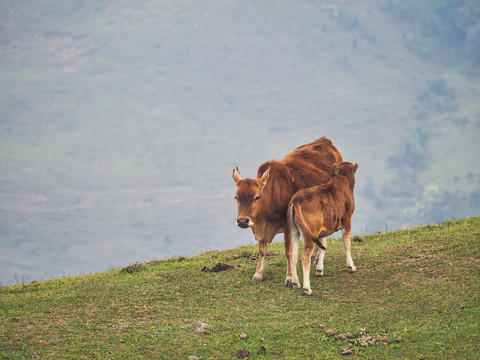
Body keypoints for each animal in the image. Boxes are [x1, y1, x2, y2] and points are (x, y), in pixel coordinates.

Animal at [232, 136, 342, 286]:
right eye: (236, 197)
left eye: (257, 197)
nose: (242, 221)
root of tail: (325, 140)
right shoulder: (261, 228)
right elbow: (262, 251)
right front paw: (258, 274)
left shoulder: (288, 227)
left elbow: (288, 252)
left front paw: (290, 278)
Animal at [286, 161, 358, 296]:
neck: (343, 179)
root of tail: (297, 199)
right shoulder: (347, 220)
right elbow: (346, 243)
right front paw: (351, 266)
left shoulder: (323, 229)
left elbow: (323, 246)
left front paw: (319, 269)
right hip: (310, 232)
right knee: (305, 256)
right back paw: (307, 288)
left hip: (293, 230)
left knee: (293, 254)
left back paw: (296, 282)